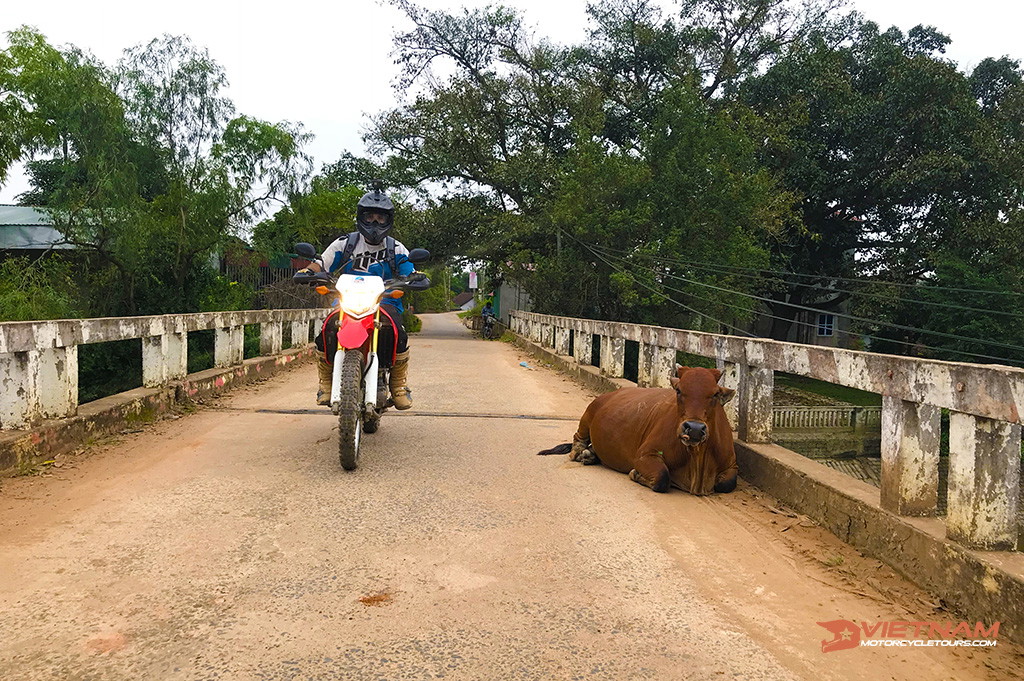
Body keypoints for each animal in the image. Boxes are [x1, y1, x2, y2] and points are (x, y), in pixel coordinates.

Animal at [536, 366, 737, 493]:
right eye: (679, 390)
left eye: (715, 394)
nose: (694, 428)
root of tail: (612, 393)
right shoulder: (644, 455)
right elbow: (662, 477)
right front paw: (636, 474)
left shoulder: (731, 465)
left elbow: (727, 484)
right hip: (588, 413)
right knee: (578, 438)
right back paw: (580, 452)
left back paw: (590, 455)